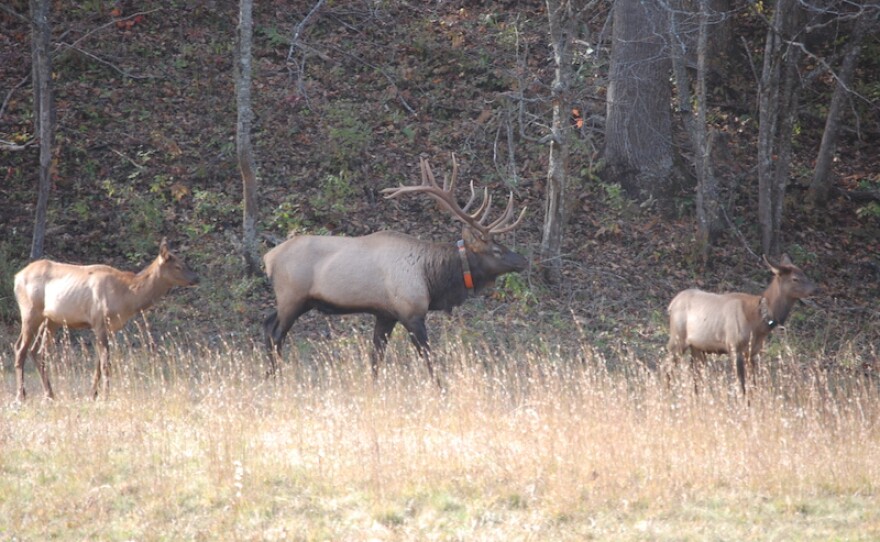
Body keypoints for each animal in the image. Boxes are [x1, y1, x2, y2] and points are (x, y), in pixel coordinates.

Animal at [12, 238, 199, 401]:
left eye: (184, 262)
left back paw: (49, 394)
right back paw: (21, 396)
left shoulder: (110, 328)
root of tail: (16, 277)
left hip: (52, 320)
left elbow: (99, 364)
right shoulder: (99, 322)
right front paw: (105, 396)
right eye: (178, 266)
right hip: (30, 311)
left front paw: (93, 394)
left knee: (37, 351)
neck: (127, 298)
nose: (196, 278)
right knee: (20, 348)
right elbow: (106, 364)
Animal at [263, 154, 528, 381]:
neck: (433, 279)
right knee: (277, 335)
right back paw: (276, 378)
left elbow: (376, 358)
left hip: (297, 301)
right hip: (292, 297)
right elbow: (428, 358)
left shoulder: (385, 314)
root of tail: (269, 258)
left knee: (267, 324)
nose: (522, 261)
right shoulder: (411, 312)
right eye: (496, 250)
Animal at [666, 254, 816, 396]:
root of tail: (671, 304)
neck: (758, 323)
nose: (815, 290)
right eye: (795, 278)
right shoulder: (734, 346)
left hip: (697, 347)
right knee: (667, 368)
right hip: (677, 339)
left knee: (696, 377)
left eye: (804, 273)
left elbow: (753, 385)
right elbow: (741, 385)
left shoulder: (752, 352)